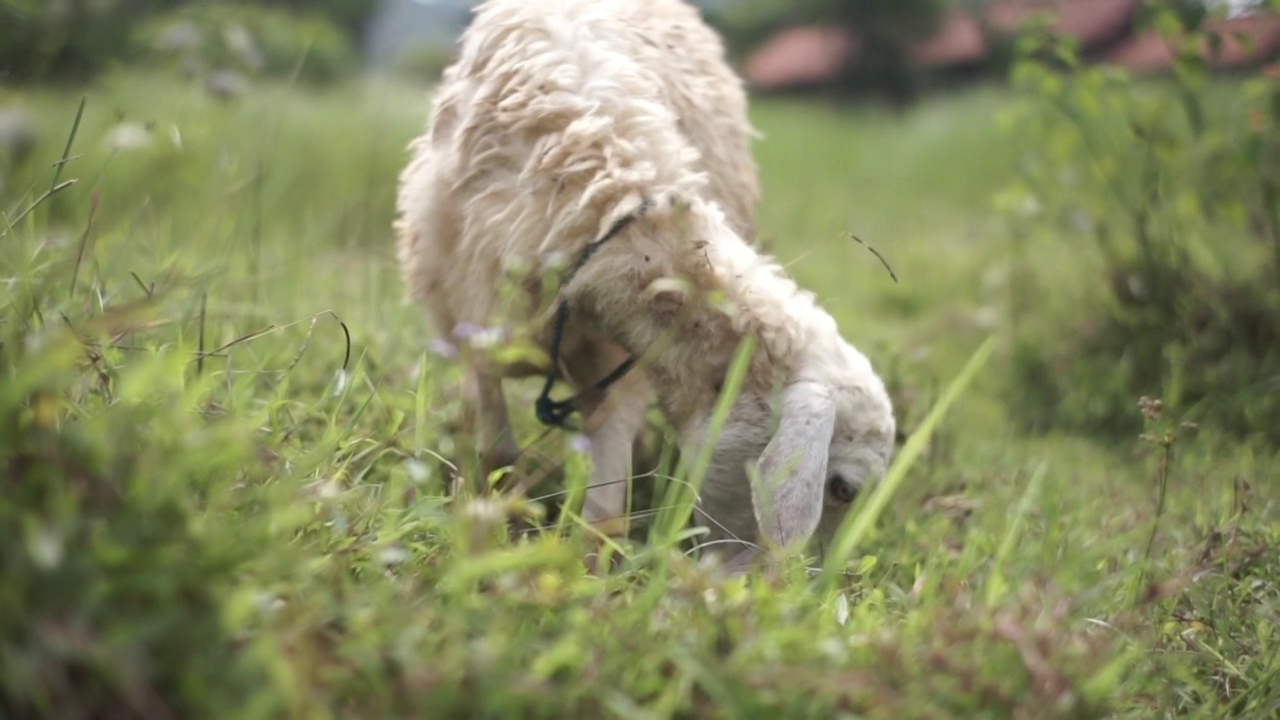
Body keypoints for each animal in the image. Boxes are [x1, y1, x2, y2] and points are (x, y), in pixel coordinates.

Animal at [394, 0, 896, 563]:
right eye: (842, 488)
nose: (780, 585)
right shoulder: (473, 324)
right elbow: (497, 448)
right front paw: (495, 525)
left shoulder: (624, 360)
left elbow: (605, 504)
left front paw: (588, 566)